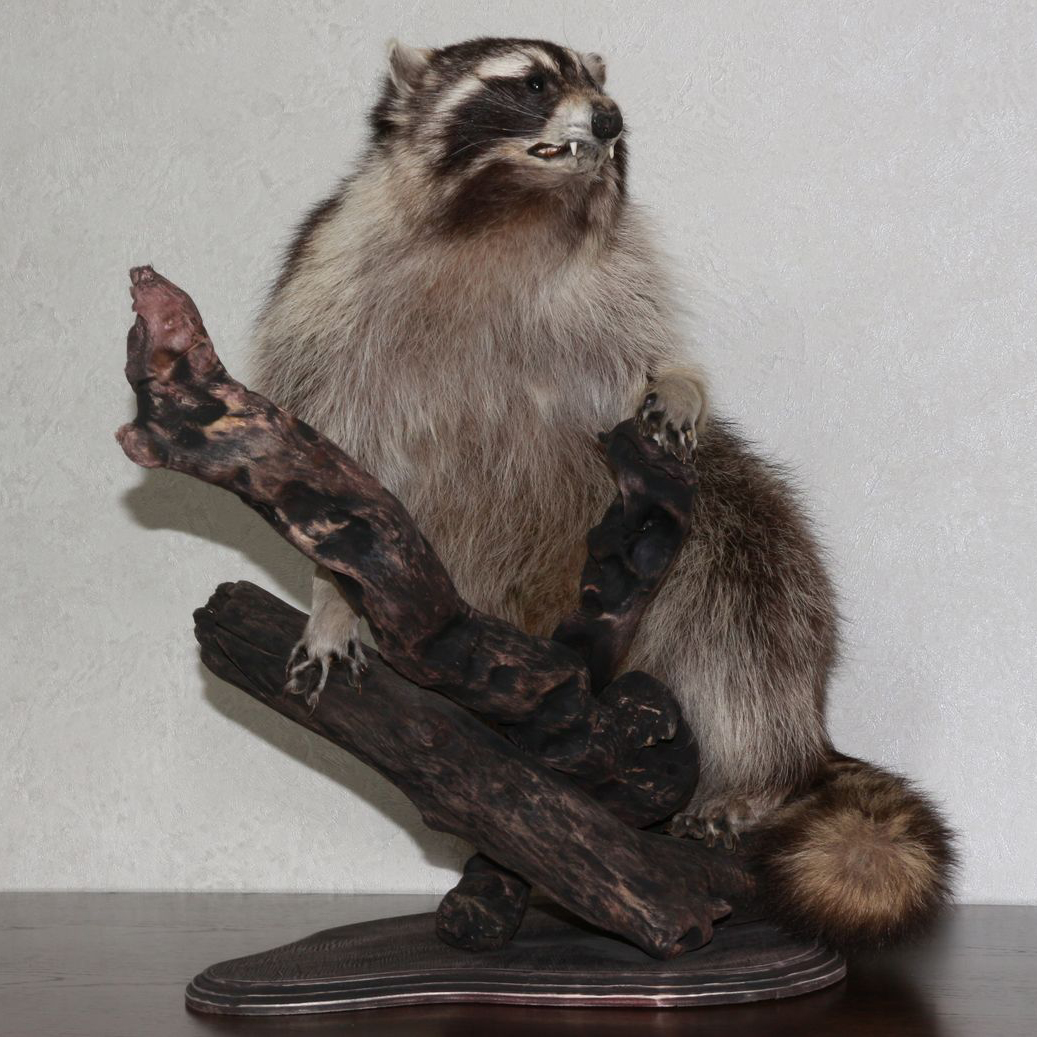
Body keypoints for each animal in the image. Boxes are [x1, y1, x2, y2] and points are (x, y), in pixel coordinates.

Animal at [253, 37, 954, 948]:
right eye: (533, 81)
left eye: (600, 80)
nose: (612, 118)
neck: (513, 215)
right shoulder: (330, 279)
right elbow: (336, 464)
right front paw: (332, 599)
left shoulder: (617, 287)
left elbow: (652, 357)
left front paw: (681, 380)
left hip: (714, 554)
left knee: (746, 613)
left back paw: (752, 775)